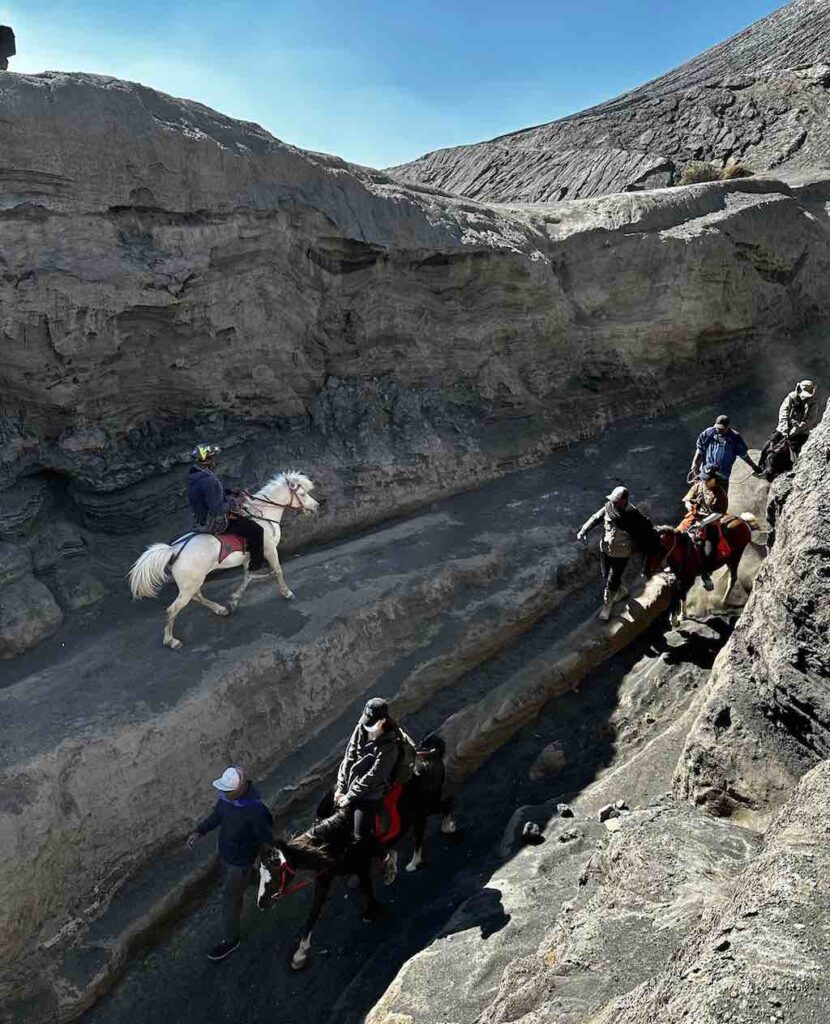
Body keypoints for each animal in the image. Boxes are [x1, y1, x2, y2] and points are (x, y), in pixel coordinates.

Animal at [128, 471, 319, 647]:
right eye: (302, 494)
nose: (316, 506)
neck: (264, 514)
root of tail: (173, 550)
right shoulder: (269, 550)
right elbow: (277, 571)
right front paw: (287, 593)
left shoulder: (248, 558)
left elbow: (248, 577)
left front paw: (234, 600)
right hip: (190, 584)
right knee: (173, 609)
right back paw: (171, 640)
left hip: (192, 582)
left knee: (197, 596)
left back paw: (220, 609)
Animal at [256, 737, 458, 966]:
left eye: (275, 873)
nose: (261, 903)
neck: (336, 841)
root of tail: (431, 753)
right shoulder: (324, 878)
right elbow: (313, 912)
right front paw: (299, 954)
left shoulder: (361, 866)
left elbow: (368, 891)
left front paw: (372, 911)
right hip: (417, 811)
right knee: (421, 827)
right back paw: (415, 860)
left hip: (426, 804)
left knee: (444, 805)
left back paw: (442, 832)